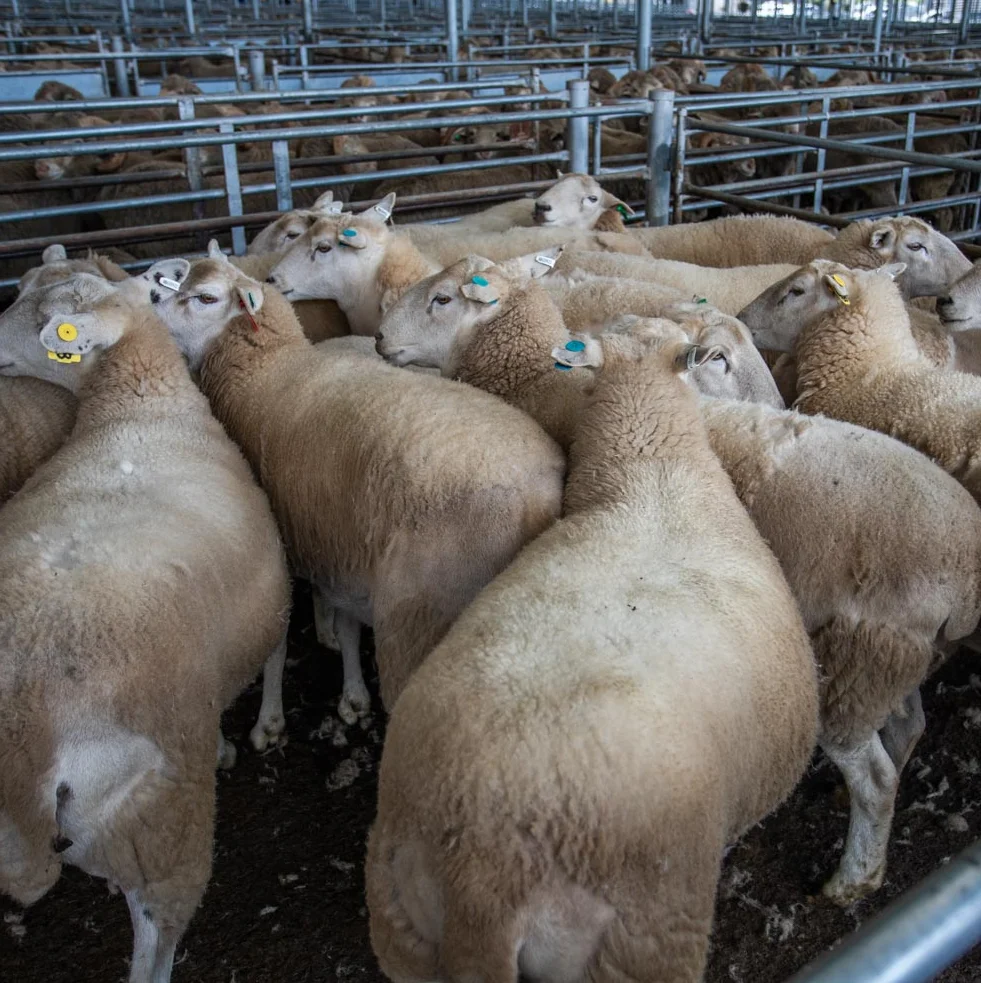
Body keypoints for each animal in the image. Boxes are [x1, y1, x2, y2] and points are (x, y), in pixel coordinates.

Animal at [0, 269, 290, 983]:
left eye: (48, 319)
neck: (140, 407)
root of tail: (25, 734)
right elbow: (271, 651)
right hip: (159, 811)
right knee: (157, 932)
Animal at [152, 249, 564, 717]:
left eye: (205, 297)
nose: (151, 307)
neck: (265, 367)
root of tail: (537, 498)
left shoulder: (281, 534)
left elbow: (277, 637)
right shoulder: (338, 539)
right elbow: (345, 620)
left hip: (419, 615)